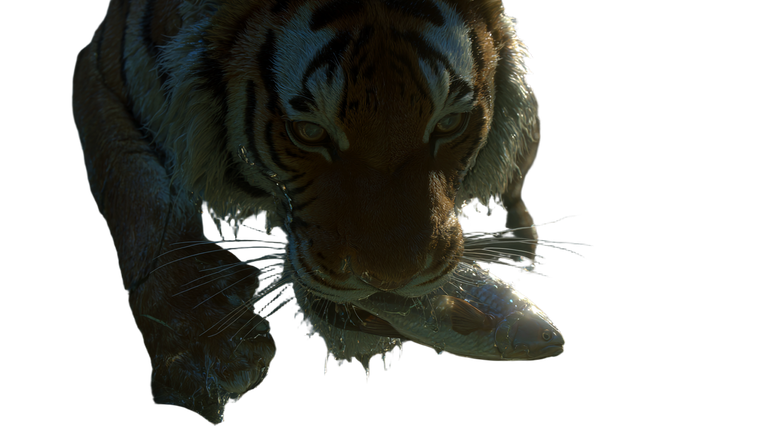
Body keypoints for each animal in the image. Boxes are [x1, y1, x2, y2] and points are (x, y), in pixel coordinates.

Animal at [72, 0, 542, 423]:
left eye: (449, 123)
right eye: (309, 132)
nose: (389, 282)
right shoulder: (100, 66)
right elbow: (138, 194)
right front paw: (201, 344)